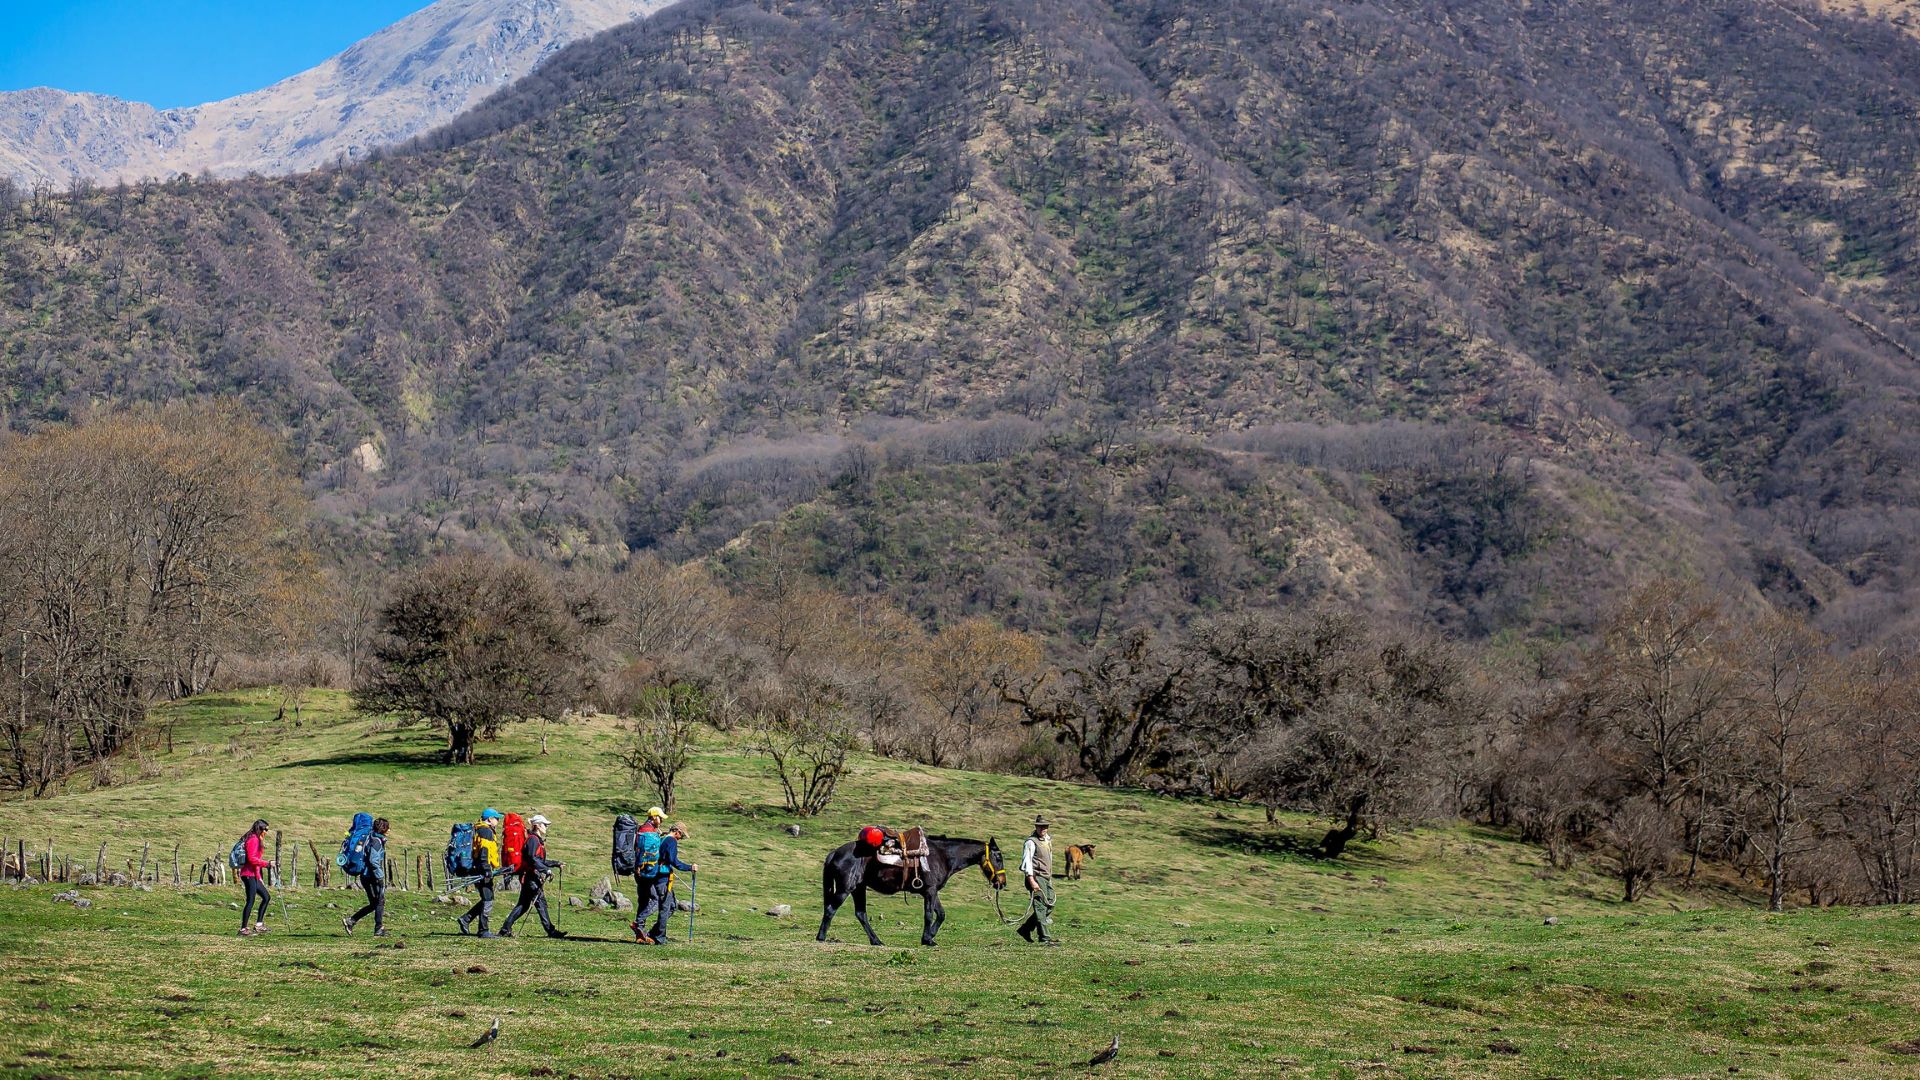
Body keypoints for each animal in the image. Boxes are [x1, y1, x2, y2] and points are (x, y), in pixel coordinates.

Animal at [817, 834, 1013, 941]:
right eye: (998, 857)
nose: (1002, 883)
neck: (942, 855)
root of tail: (835, 852)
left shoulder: (932, 891)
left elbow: (941, 915)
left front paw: (930, 936)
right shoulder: (929, 891)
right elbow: (928, 915)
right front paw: (927, 939)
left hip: (858, 889)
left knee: (861, 914)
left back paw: (877, 941)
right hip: (845, 889)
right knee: (830, 909)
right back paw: (821, 937)